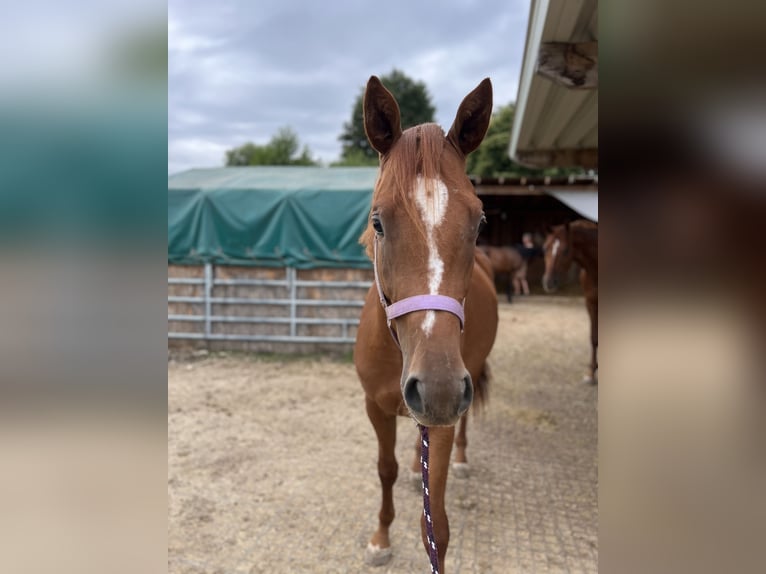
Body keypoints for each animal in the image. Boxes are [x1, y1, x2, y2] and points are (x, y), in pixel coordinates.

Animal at [354, 75, 498, 572]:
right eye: (378, 221)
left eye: (479, 221)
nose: (437, 389)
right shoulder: (376, 408)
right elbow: (385, 469)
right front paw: (380, 536)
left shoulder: (442, 421)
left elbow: (435, 521)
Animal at [540, 219, 600, 382]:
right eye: (545, 248)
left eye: (566, 250)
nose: (549, 282)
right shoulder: (591, 303)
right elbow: (594, 337)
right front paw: (591, 373)